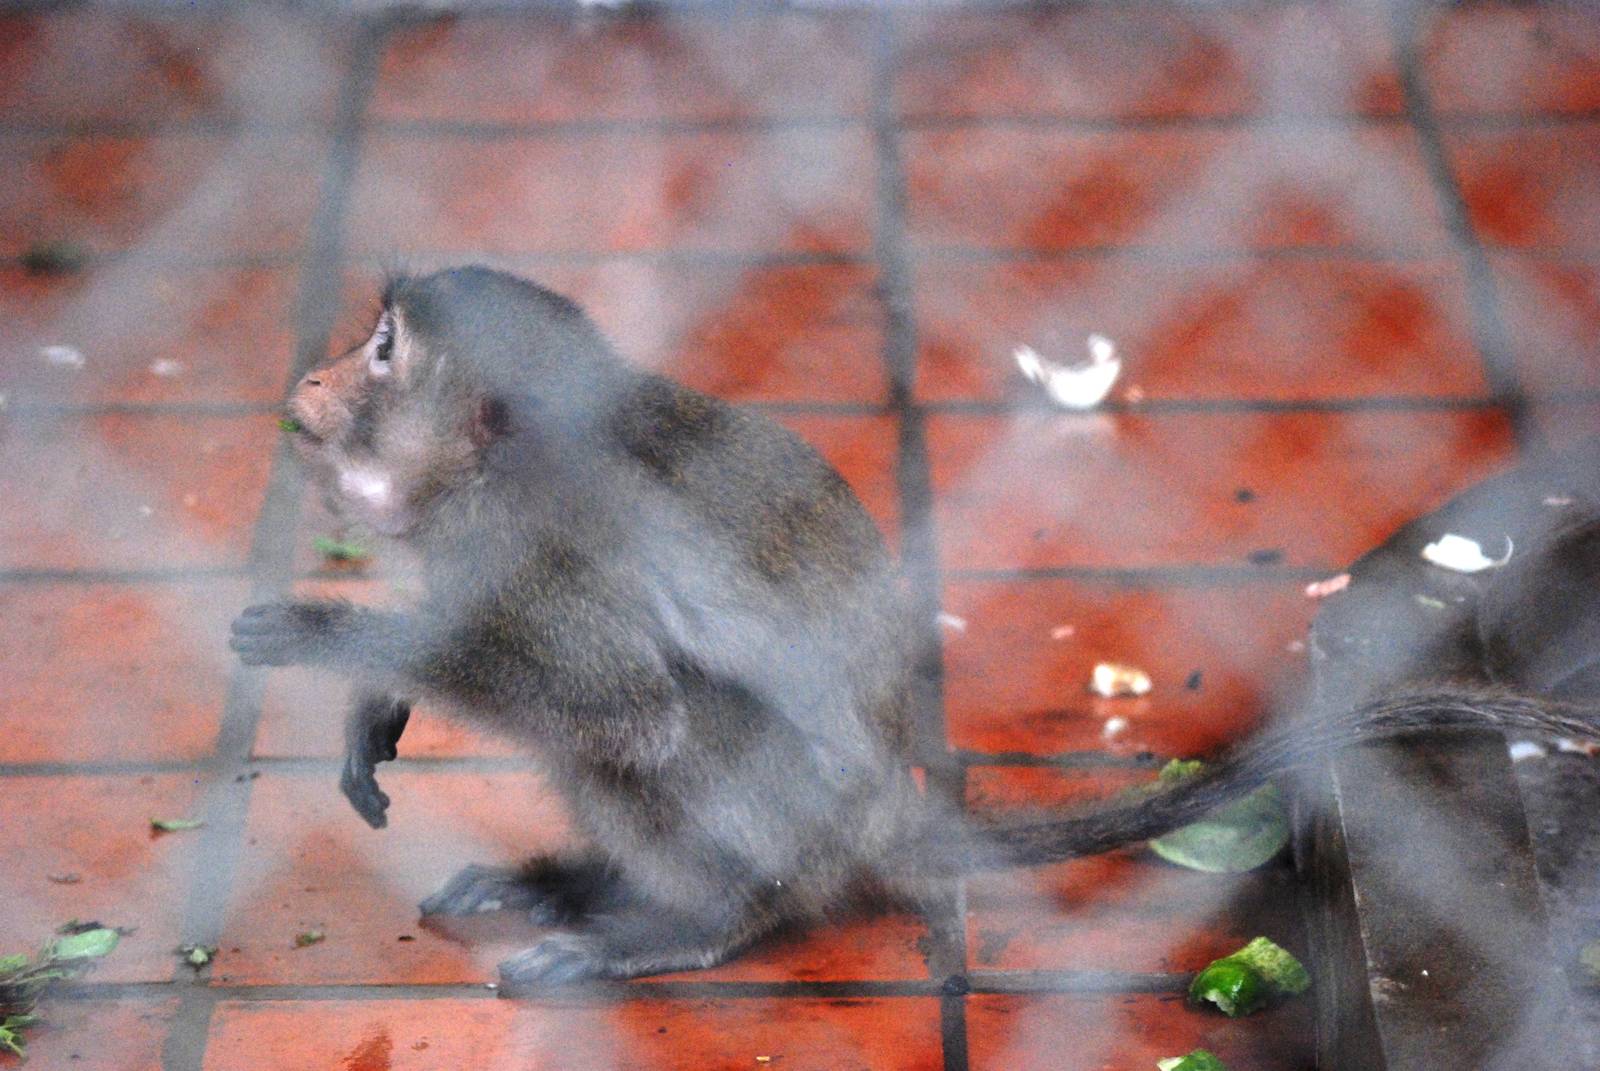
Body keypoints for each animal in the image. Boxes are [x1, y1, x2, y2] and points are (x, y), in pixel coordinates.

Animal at [230, 266, 1600, 990]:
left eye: (384, 349)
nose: (314, 377)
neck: (498, 473)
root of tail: (883, 825)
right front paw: (377, 693)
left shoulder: (542, 555)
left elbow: (620, 706)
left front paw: (339, 639)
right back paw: (585, 881)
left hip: (797, 830)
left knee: (668, 739)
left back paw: (700, 919)